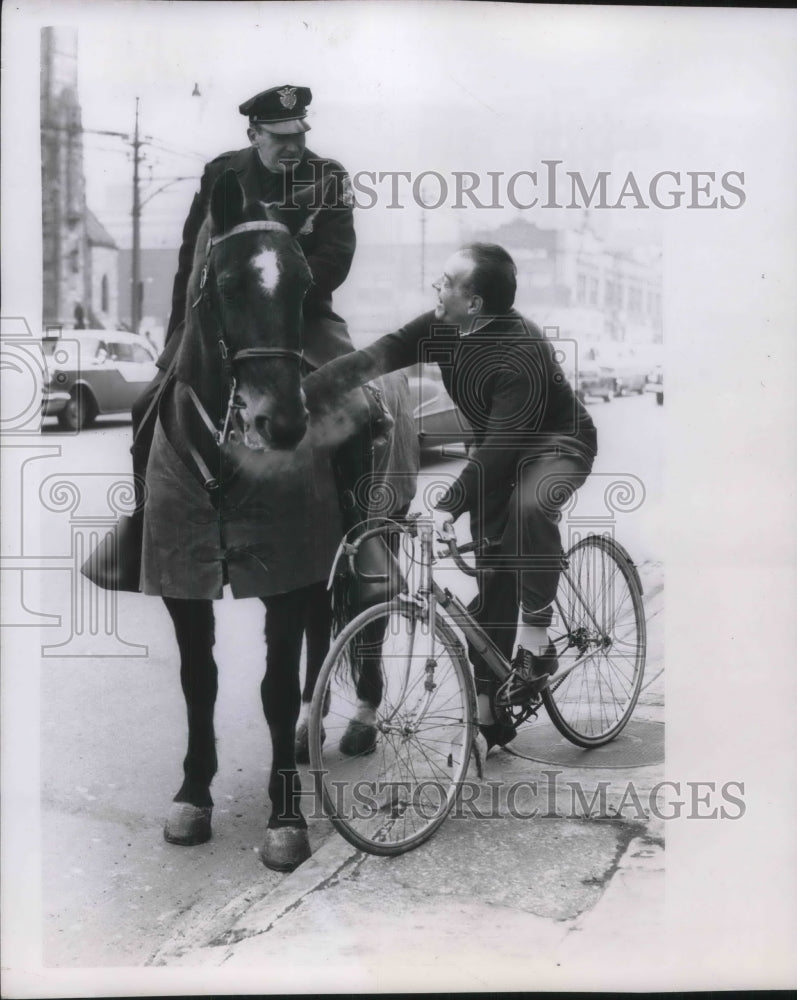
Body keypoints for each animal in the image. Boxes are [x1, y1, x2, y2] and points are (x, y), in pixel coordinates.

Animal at [141, 168, 398, 872]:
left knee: (372, 611)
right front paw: (192, 795)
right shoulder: (182, 583)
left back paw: (360, 717)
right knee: (322, 627)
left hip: (374, 533)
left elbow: (274, 689)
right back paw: (317, 716)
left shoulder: (285, 571)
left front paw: (285, 818)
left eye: (305, 284)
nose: (282, 422)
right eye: (227, 283)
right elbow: (199, 682)